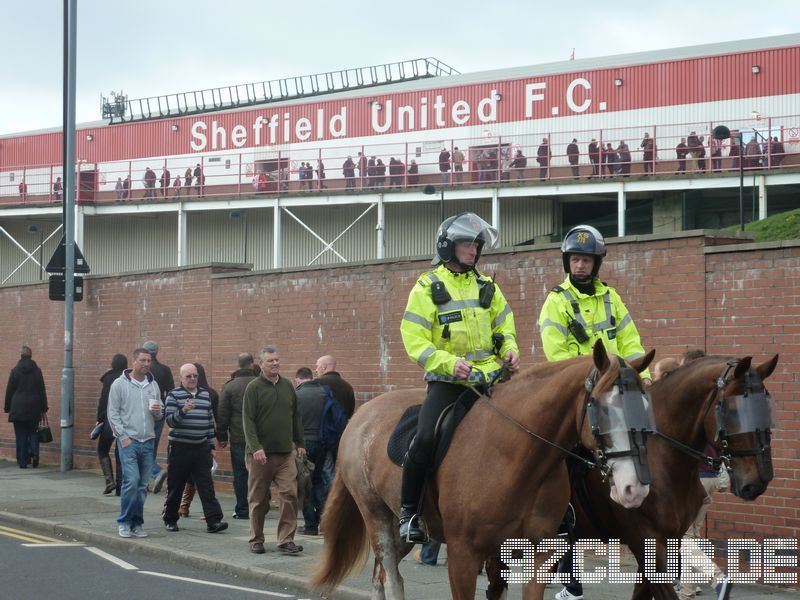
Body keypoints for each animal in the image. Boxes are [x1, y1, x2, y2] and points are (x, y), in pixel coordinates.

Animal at [310, 342, 652, 600]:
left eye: (645, 407)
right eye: (602, 408)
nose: (634, 488)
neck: (518, 456)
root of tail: (361, 415)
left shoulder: (535, 553)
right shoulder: (463, 555)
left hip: (400, 525)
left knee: (381, 576)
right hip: (376, 514)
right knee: (392, 578)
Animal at [484, 354, 780, 596]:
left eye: (768, 409)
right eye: (735, 411)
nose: (756, 483)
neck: (662, 457)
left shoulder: (665, 542)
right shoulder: (645, 542)